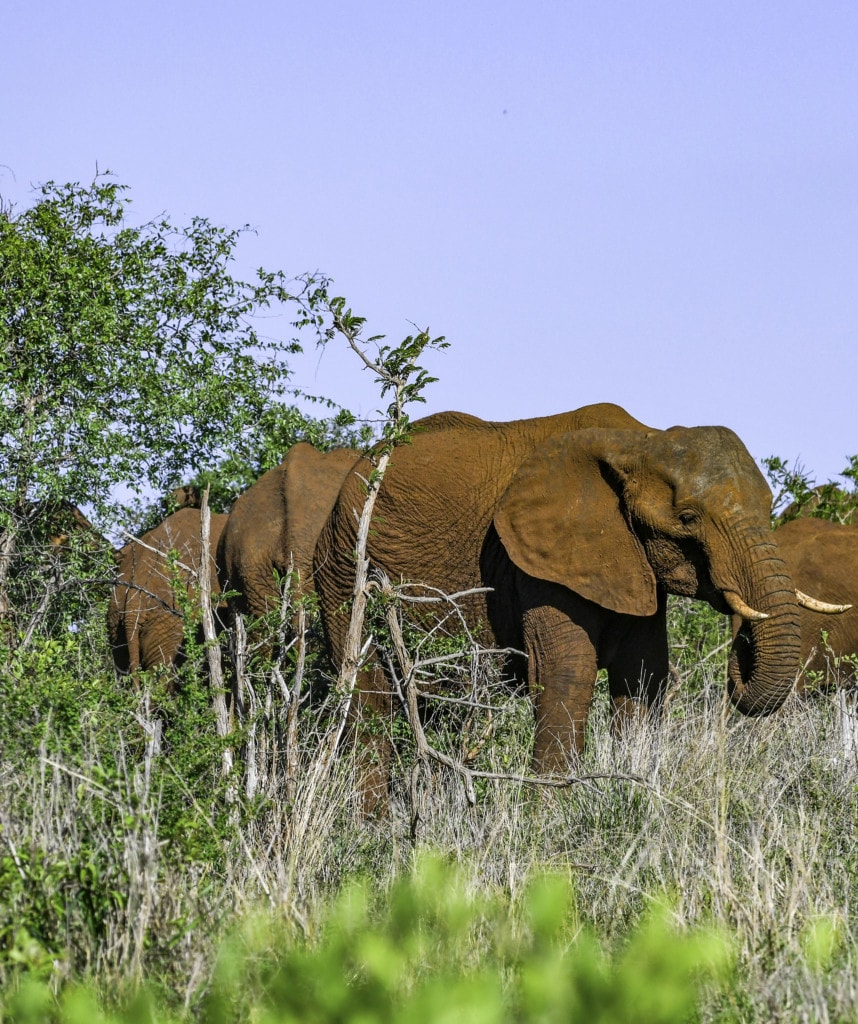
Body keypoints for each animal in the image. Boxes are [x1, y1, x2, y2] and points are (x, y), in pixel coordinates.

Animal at [314, 403, 843, 804]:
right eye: (689, 518)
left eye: (769, 507)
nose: (744, 642)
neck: (639, 441)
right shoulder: (536, 560)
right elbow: (567, 673)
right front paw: (547, 825)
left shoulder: (631, 561)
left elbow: (644, 674)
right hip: (344, 566)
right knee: (368, 704)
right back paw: (373, 831)